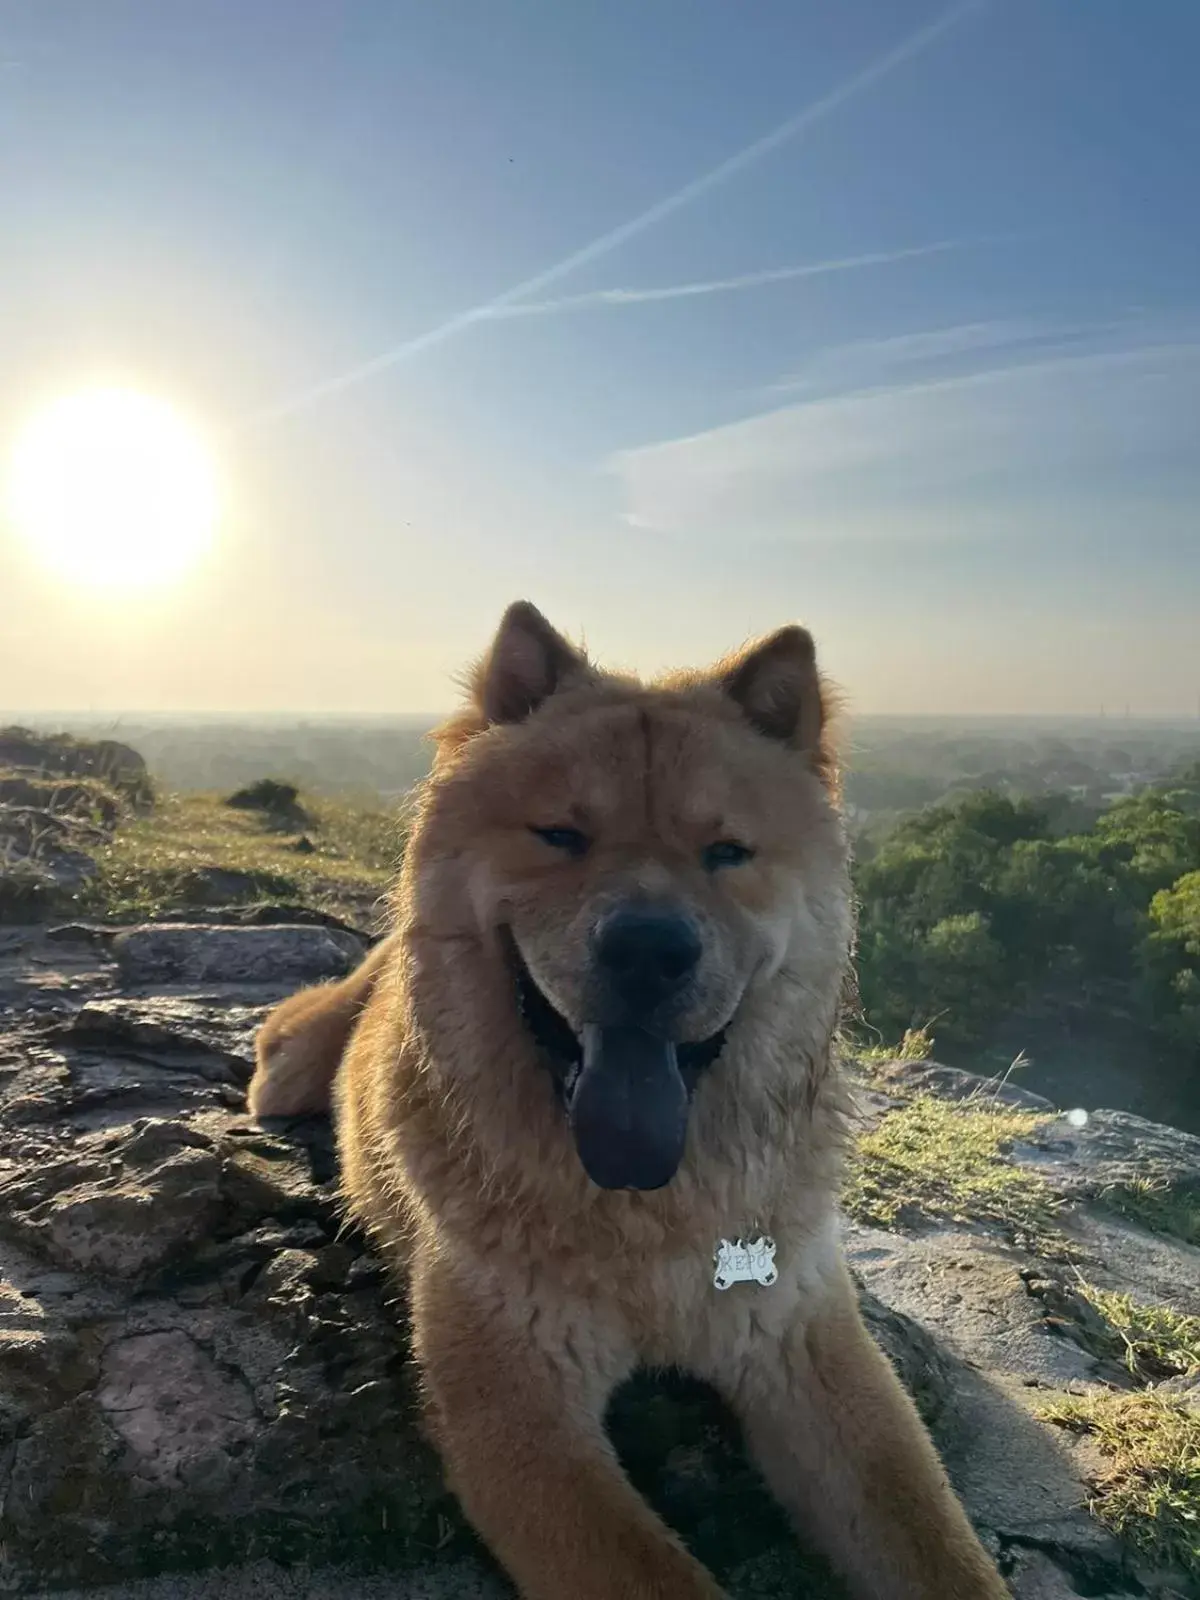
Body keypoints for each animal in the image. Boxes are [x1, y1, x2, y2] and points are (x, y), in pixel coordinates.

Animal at [249, 601, 1011, 1600]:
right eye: (561, 836)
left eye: (727, 853)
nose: (649, 949)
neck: (646, 1212)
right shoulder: (520, 1409)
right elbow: (656, 1573)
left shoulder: (804, 1345)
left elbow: (932, 1543)